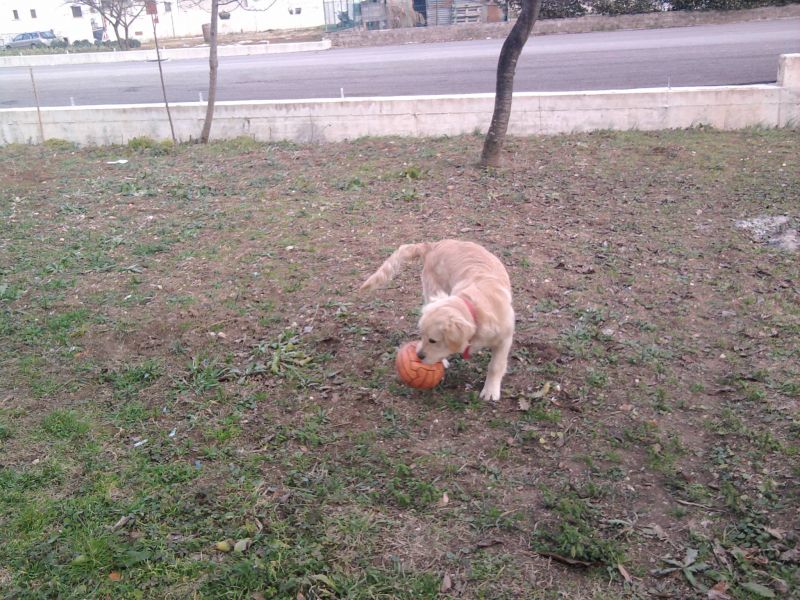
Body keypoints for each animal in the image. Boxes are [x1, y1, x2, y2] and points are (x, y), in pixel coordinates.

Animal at [360, 240, 516, 404]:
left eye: (433, 340)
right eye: (421, 336)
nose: (419, 356)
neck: (474, 308)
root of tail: (432, 244)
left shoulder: (505, 339)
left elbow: (496, 365)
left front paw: (490, 390)